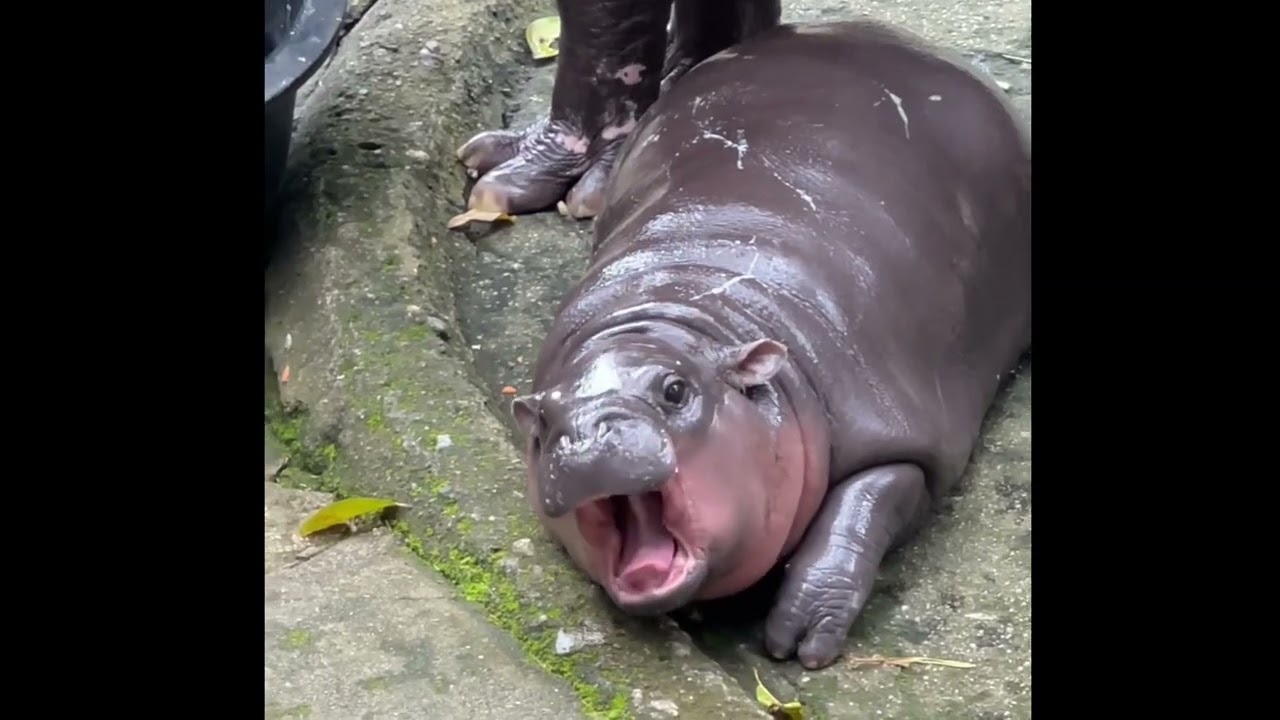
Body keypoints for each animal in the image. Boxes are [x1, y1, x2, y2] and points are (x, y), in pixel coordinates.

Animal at [503, 17, 1032, 670]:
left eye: (675, 390)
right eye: (544, 426)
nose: (587, 436)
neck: (679, 315)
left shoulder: (900, 434)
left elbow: (864, 505)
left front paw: (799, 640)